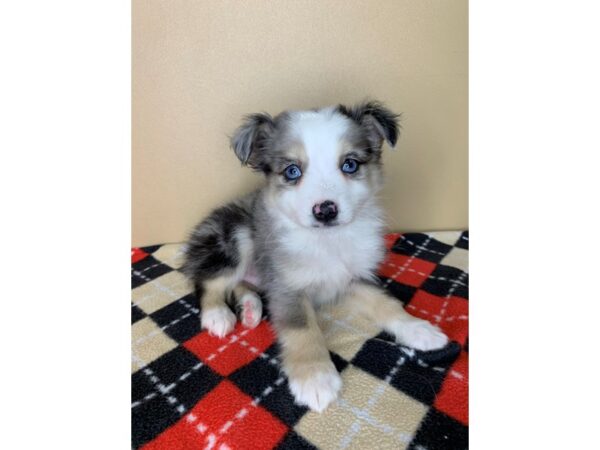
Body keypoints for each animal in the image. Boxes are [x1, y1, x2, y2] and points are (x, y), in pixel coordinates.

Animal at [180, 102, 448, 412]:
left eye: (350, 164)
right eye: (292, 171)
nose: (325, 210)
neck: (327, 242)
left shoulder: (353, 277)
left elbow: (386, 303)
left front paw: (417, 329)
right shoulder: (287, 287)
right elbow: (303, 329)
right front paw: (315, 378)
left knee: (241, 284)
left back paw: (250, 308)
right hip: (236, 235)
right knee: (208, 281)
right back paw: (218, 314)